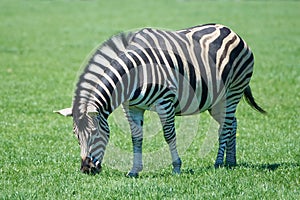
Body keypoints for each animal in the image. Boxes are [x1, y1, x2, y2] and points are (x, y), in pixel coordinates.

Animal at [55, 23, 266, 178]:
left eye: (94, 133)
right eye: (76, 135)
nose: (86, 169)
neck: (135, 75)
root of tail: (229, 30)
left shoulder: (165, 102)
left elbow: (169, 135)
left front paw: (176, 167)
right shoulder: (132, 107)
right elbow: (136, 137)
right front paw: (134, 171)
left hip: (233, 91)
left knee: (225, 126)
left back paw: (219, 163)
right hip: (216, 100)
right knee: (232, 122)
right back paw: (231, 162)